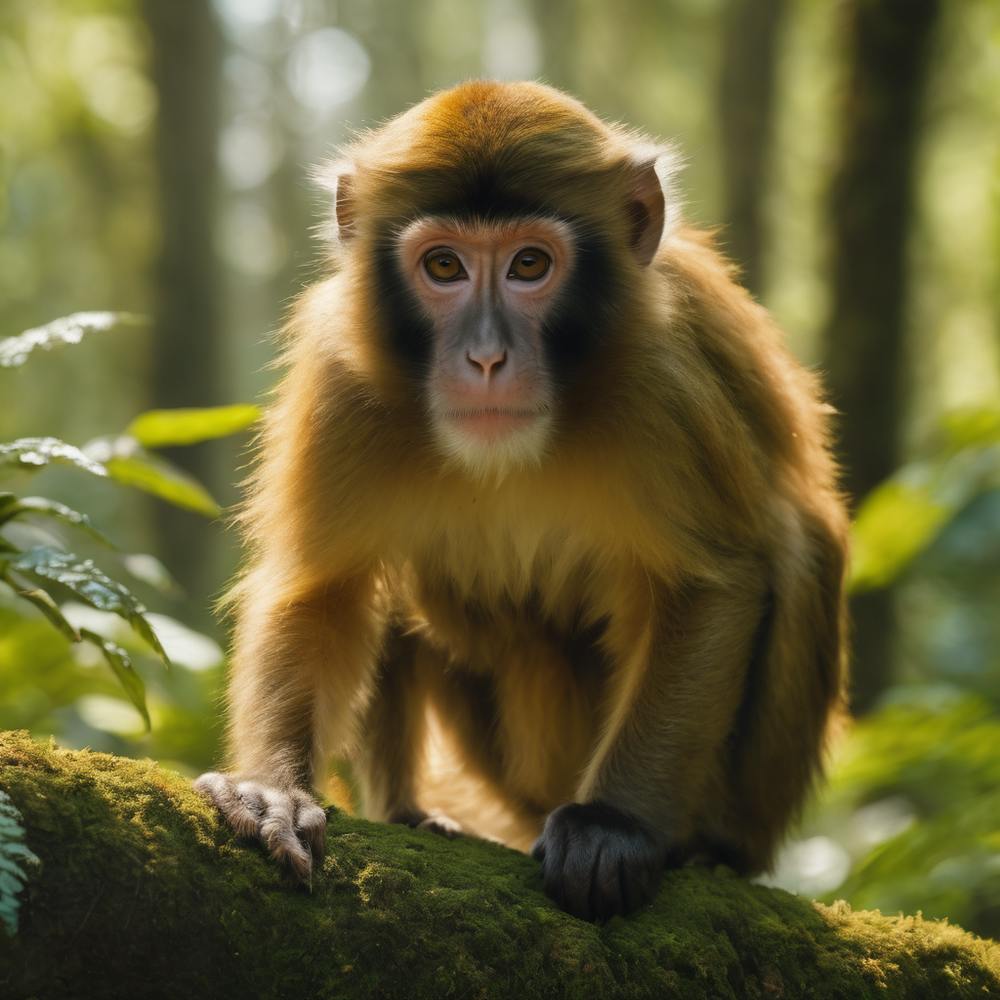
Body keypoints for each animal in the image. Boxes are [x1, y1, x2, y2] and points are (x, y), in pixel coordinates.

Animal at [195, 80, 848, 922]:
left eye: (529, 264)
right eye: (443, 265)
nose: (485, 358)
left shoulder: (662, 378)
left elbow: (713, 584)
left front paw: (612, 825)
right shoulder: (341, 377)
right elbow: (320, 588)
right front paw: (273, 788)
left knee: (800, 540)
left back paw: (713, 848)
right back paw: (409, 810)